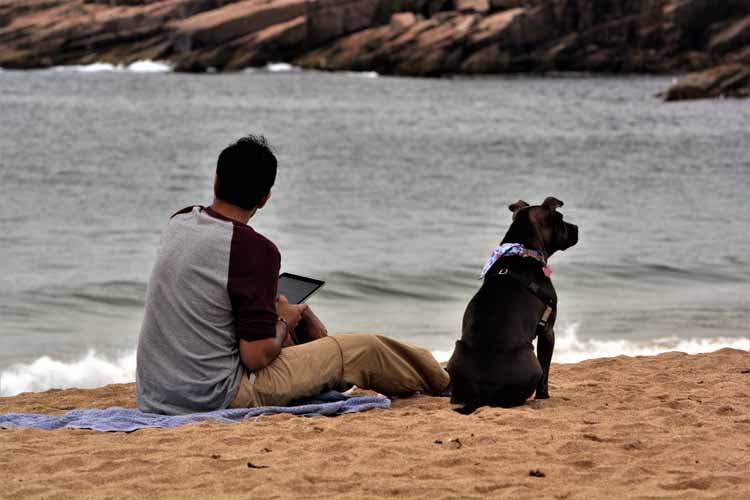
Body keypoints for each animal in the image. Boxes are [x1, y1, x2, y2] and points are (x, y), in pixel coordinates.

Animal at [446, 197, 580, 412]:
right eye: (560, 218)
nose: (576, 228)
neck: (523, 250)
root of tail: (482, 392)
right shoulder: (548, 330)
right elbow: (546, 371)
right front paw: (544, 396)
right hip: (532, 363)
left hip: (456, 355)